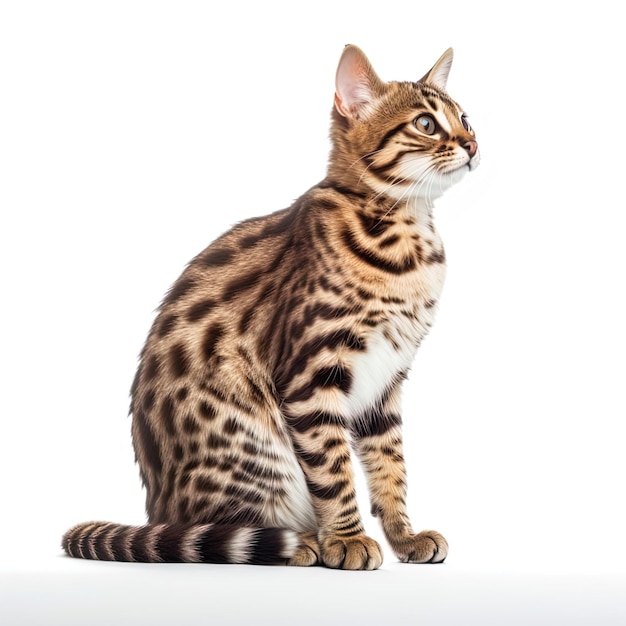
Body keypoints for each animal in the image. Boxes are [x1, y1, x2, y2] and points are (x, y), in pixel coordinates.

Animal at [62, 44, 478, 568]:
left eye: (466, 117)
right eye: (426, 123)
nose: (473, 143)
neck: (407, 234)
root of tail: (155, 513)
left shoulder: (385, 382)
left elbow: (391, 467)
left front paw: (403, 536)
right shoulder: (311, 374)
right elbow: (335, 470)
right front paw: (346, 539)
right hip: (257, 453)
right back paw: (301, 543)